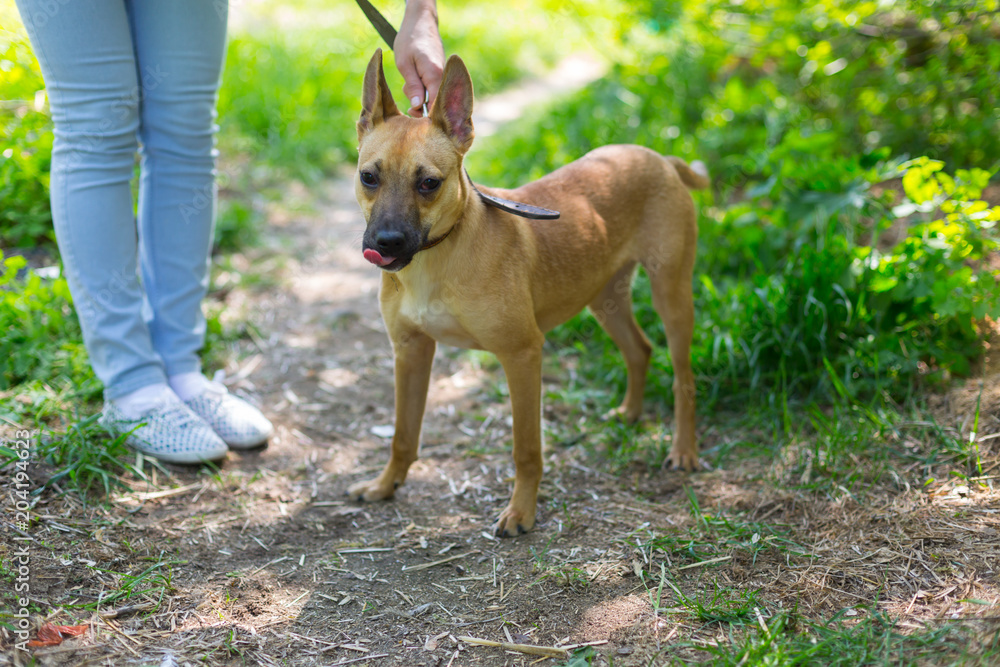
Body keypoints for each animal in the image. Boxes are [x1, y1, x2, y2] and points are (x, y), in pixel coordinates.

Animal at [348, 49, 708, 536]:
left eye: (429, 183)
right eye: (369, 177)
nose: (385, 243)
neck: (438, 257)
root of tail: (660, 158)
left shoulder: (521, 355)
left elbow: (526, 449)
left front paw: (521, 511)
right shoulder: (410, 351)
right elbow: (403, 435)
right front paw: (386, 485)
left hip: (671, 295)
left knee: (682, 378)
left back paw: (683, 449)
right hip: (605, 299)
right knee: (640, 349)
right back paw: (629, 414)